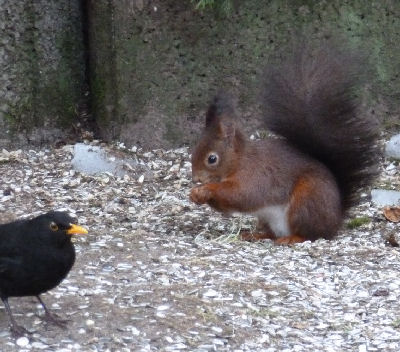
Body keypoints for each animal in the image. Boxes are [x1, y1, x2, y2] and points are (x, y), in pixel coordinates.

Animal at [189, 42, 380, 243]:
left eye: (212, 159)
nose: (196, 179)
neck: (239, 161)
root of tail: (335, 220)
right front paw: (196, 194)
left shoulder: (255, 176)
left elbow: (241, 195)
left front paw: (206, 189)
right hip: (268, 218)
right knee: (272, 233)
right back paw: (254, 234)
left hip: (306, 201)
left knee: (311, 234)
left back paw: (291, 238)